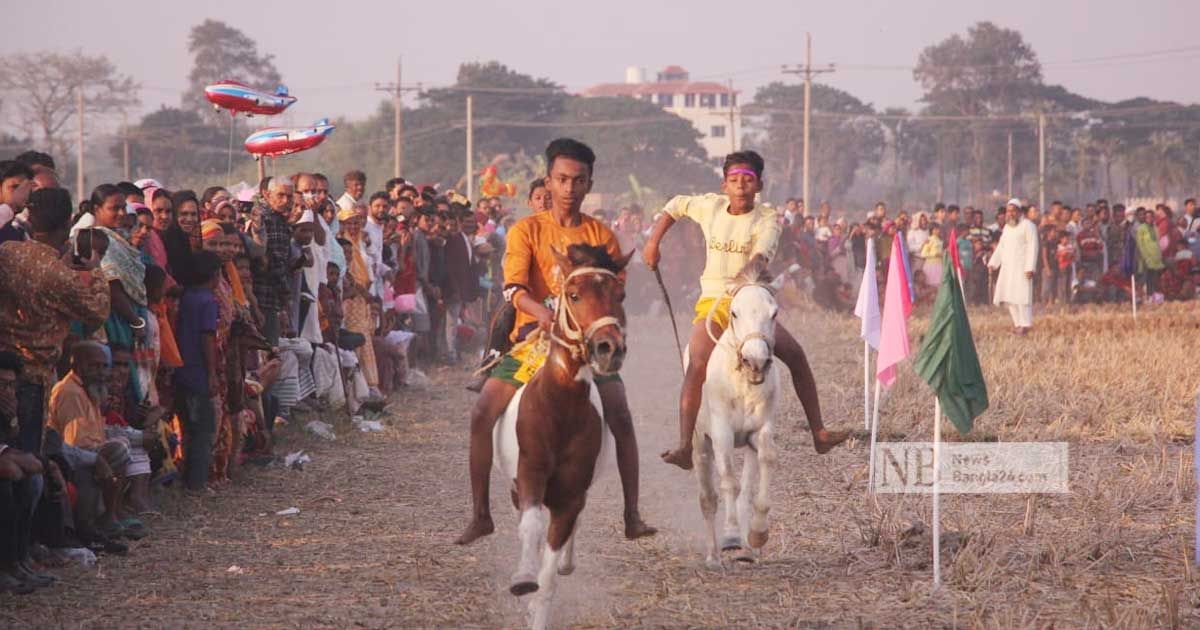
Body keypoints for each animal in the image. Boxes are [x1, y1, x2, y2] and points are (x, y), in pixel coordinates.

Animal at [492, 243, 633, 624]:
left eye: (620, 295)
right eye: (574, 295)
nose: (609, 349)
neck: (559, 410)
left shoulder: (571, 494)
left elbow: (551, 569)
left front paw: (538, 606)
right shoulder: (528, 475)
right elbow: (530, 525)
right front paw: (523, 578)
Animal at [691, 273, 782, 564]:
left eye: (774, 313)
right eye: (734, 312)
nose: (756, 361)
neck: (742, 384)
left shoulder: (760, 431)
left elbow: (766, 461)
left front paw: (757, 534)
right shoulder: (722, 434)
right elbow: (728, 482)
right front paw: (730, 536)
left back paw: (749, 551)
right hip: (699, 445)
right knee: (707, 498)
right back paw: (713, 555)